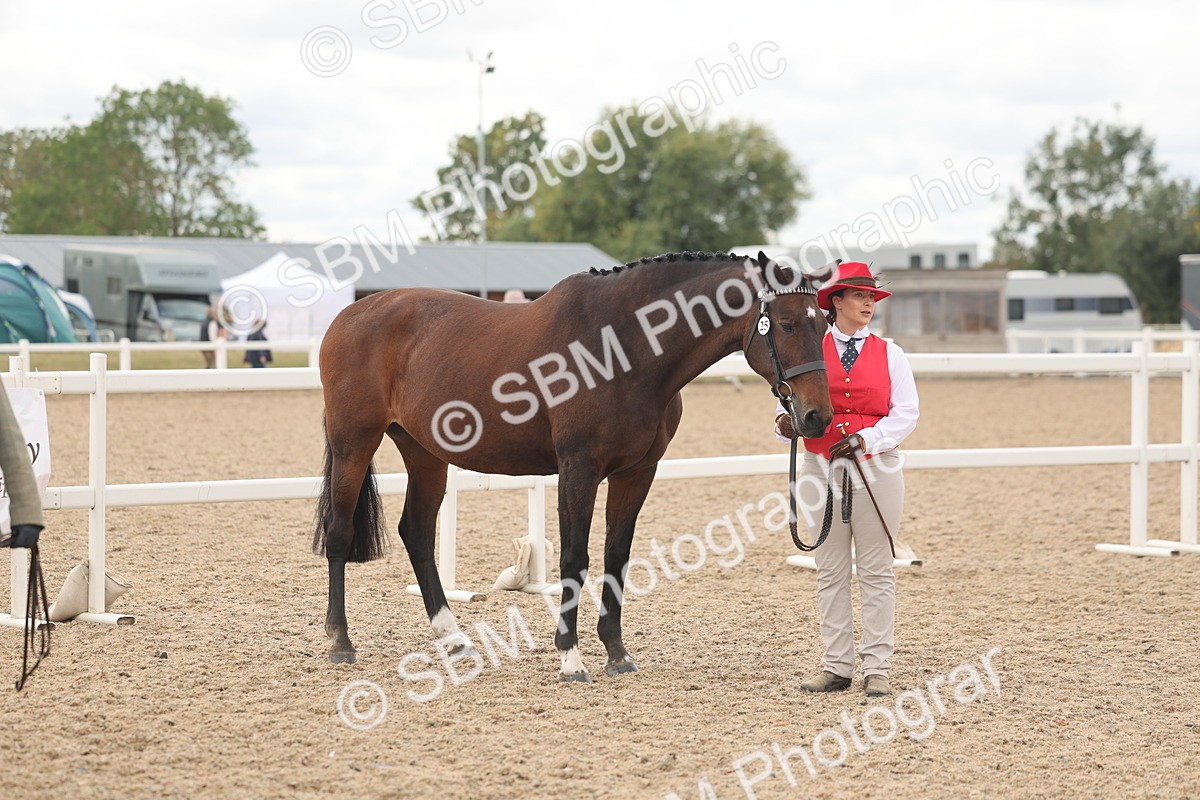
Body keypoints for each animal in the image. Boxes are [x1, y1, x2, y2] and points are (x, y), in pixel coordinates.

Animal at [313, 251, 834, 682]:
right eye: (786, 324)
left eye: (825, 324)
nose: (816, 417)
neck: (622, 349)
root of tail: (350, 315)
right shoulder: (578, 469)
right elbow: (574, 559)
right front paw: (570, 657)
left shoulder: (636, 472)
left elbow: (616, 556)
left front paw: (617, 653)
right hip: (354, 443)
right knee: (340, 531)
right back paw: (340, 641)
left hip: (424, 454)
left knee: (416, 532)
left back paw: (454, 638)